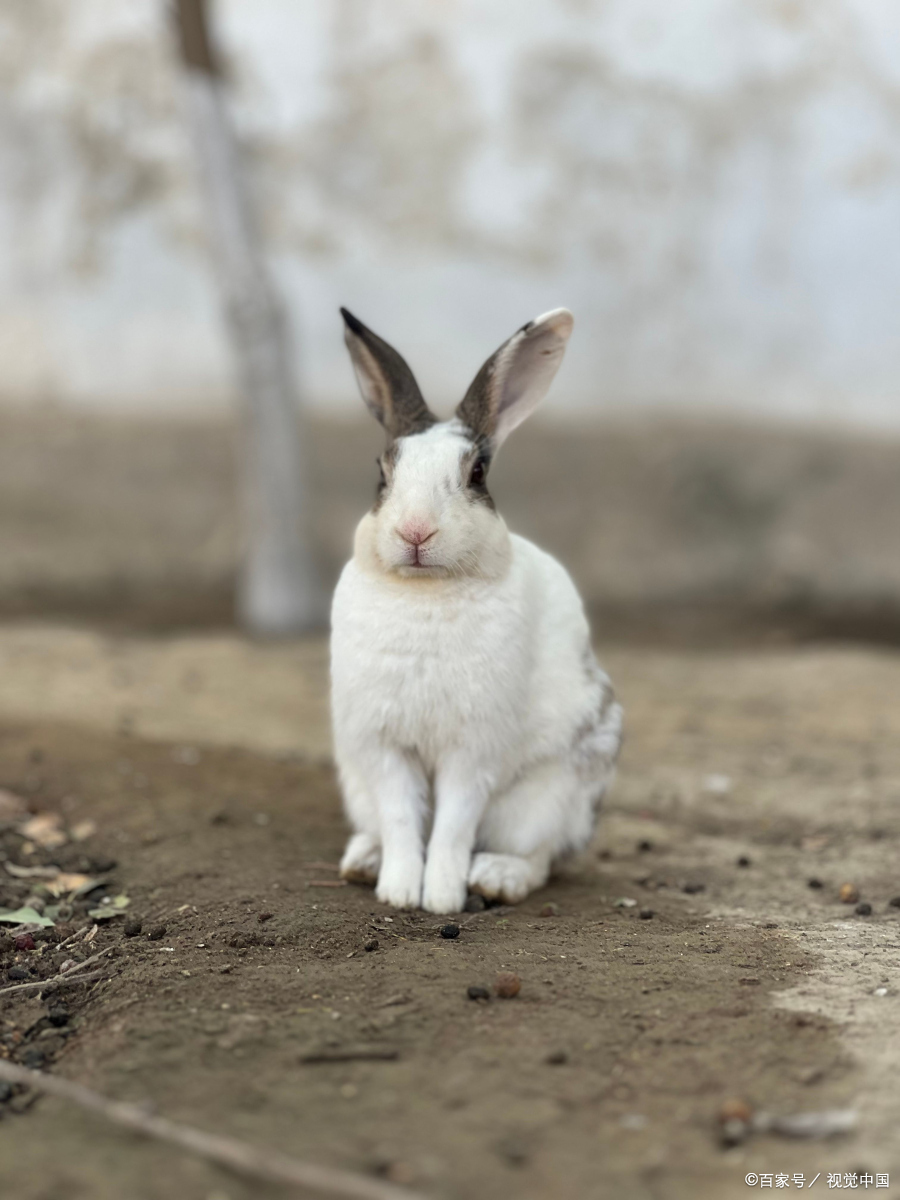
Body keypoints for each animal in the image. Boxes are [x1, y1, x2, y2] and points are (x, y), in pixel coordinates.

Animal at [333, 304, 628, 912]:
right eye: (382, 472)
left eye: (477, 474)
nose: (415, 531)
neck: (424, 589)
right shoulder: (382, 747)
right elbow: (403, 819)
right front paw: (400, 891)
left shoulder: (472, 752)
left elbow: (453, 825)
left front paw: (441, 898)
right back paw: (363, 861)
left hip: (552, 794)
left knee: (540, 857)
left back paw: (496, 877)